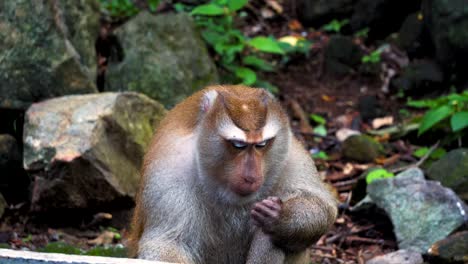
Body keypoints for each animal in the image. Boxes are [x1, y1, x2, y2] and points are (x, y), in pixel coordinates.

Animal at [128, 85, 336, 262]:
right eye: (238, 145)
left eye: (262, 144)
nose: (251, 177)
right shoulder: (169, 172)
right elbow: (169, 242)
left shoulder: (291, 155)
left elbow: (322, 207)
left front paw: (280, 217)